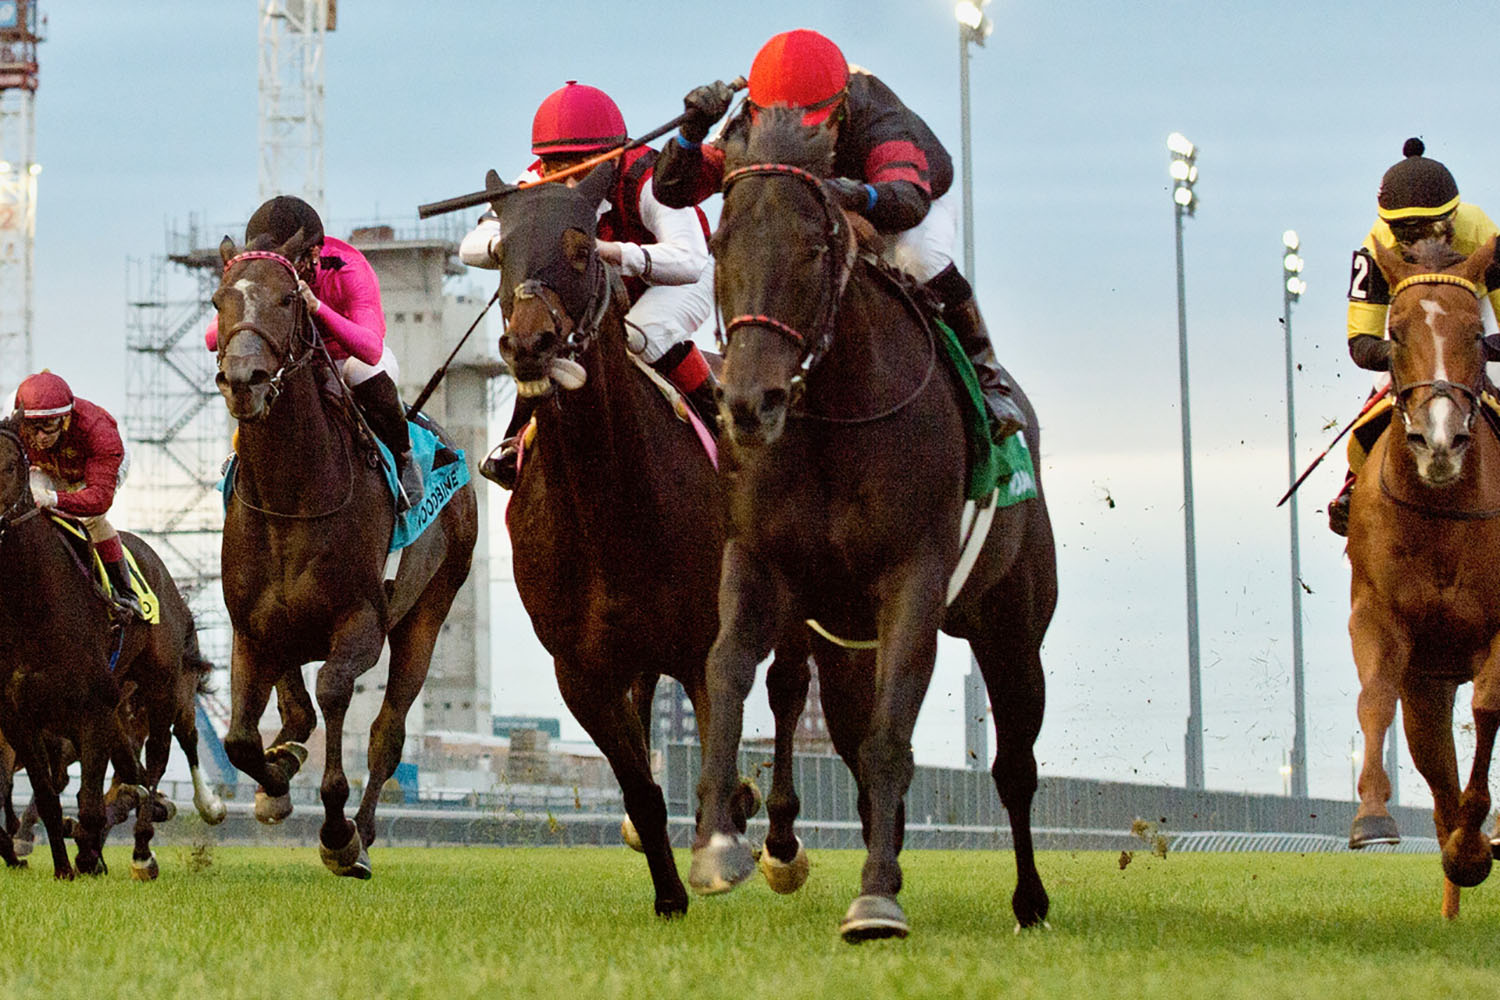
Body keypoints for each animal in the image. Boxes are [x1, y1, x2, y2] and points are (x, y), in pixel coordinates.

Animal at [213, 232, 474, 875]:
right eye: (217, 302)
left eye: (287, 299)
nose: (244, 379)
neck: (293, 492)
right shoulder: (251, 627)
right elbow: (241, 739)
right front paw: (277, 780)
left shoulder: (360, 621)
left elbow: (334, 691)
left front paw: (337, 832)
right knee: (297, 713)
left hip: (429, 611)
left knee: (387, 731)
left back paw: (365, 828)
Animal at [489, 166, 810, 923]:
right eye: (498, 252)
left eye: (581, 249)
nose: (528, 344)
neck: (612, 503)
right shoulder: (579, 667)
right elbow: (641, 785)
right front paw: (669, 895)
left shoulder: (704, 643)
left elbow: (718, 756)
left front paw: (730, 833)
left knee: (788, 692)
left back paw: (782, 843)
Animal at [696, 105, 1062, 941]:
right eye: (720, 243)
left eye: (813, 248)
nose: (748, 404)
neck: (833, 414)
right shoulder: (757, 560)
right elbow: (728, 670)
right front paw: (720, 843)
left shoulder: (913, 577)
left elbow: (893, 737)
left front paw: (876, 899)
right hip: (843, 645)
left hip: (1012, 628)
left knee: (1014, 767)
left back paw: (1028, 900)